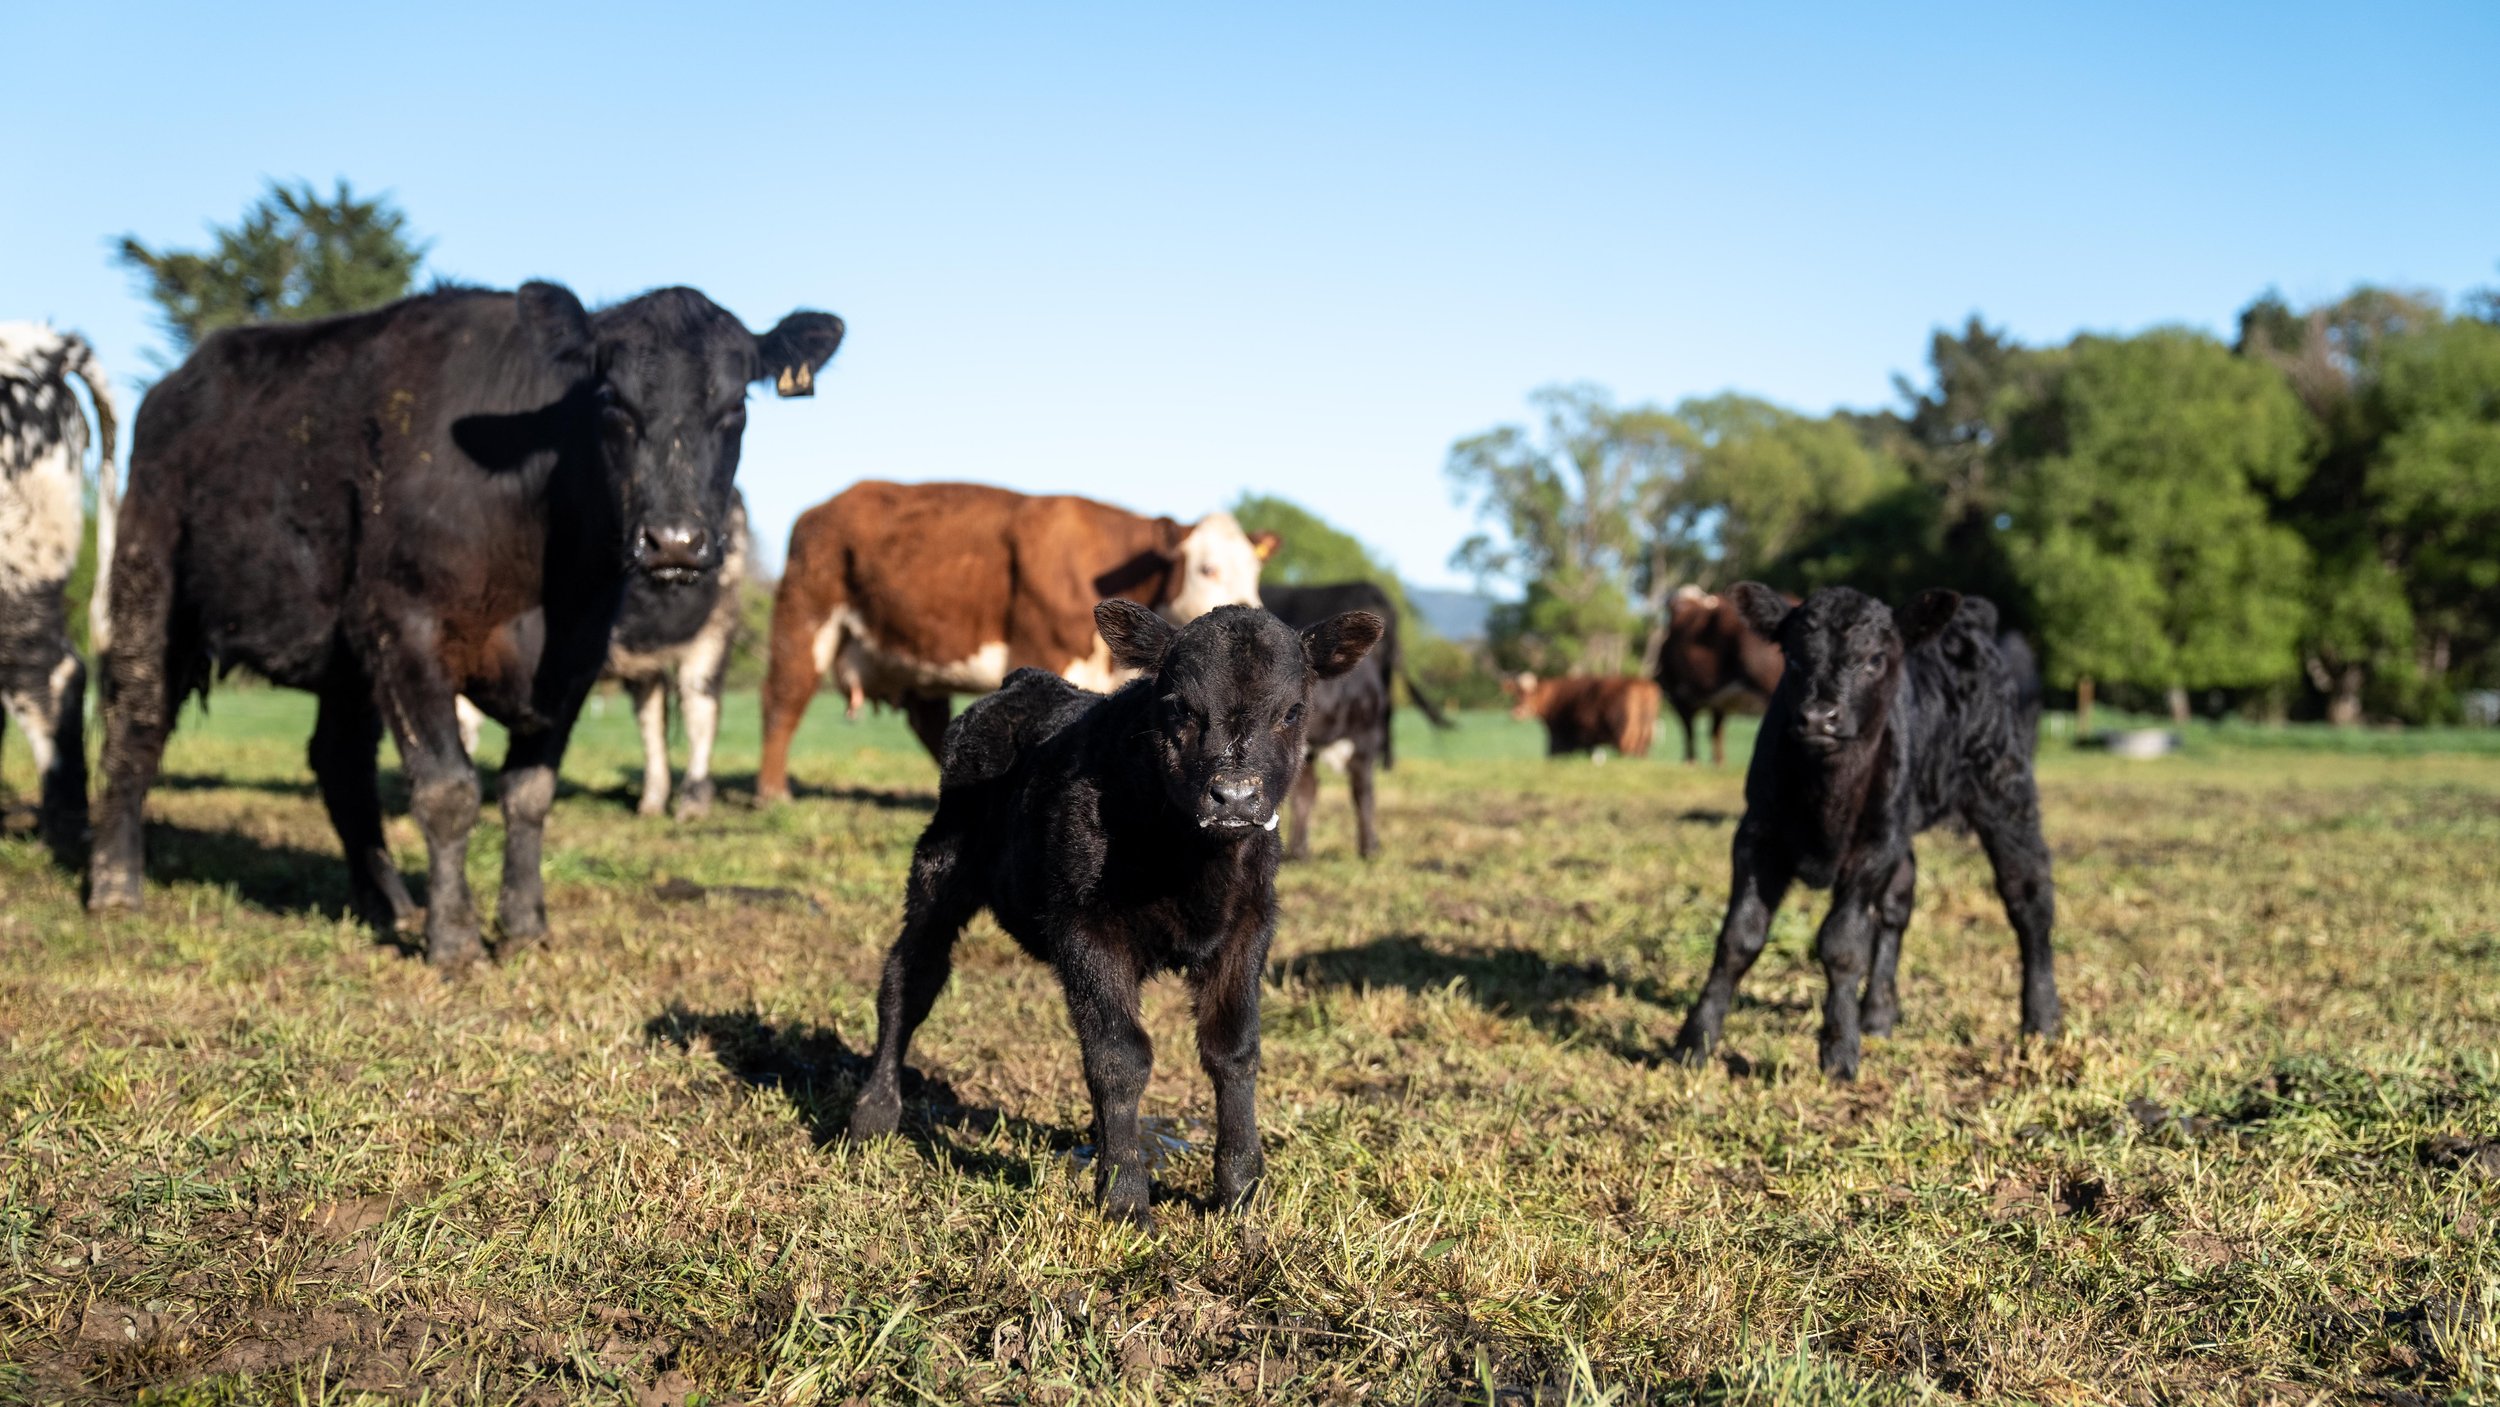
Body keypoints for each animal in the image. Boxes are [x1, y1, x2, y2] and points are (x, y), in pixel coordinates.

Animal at [756, 481, 1274, 802]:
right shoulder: (1045, 652)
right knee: (783, 699)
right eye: (1207, 568)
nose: (1252, 614)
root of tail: (824, 508)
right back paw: (772, 792)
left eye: (1254, 569)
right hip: (803, 620)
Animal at [846, 600, 1383, 1224]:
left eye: (1293, 710)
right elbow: (1120, 1056)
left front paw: (1241, 1192)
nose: (1235, 797)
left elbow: (1233, 1051)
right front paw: (1125, 1197)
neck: (1191, 862)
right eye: (1179, 706)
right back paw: (873, 1114)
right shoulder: (1086, 929)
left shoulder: (1248, 929)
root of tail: (1027, 682)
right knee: (910, 980)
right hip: (940, 869)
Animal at [1504, 673, 1660, 759]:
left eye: (1533, 693)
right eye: (1515, 693)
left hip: (1625, 738)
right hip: (1644, 739)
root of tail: (1642, 683)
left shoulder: (1563, 740)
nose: (1519, 711)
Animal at [1657, 583, 1785, 766]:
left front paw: (1690, 761)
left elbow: (1689, 730)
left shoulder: (1677, 694)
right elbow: (1715, 730)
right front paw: (1718, 762)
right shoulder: (1719, 701)